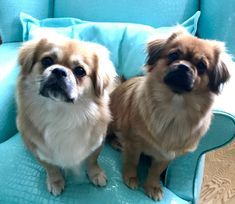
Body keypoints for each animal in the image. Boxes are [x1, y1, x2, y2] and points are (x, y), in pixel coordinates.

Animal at [16, 36, 117, 196]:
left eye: (80, 71)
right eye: (47, 61)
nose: (59, 71)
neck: (62, 112)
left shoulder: (97, 143)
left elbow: (92, 160)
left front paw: (96, 174)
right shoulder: (40, 151)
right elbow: (51, 167)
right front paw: (55, 181)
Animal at [109, 28, 231, 201]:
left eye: (201, 66)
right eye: (173, 55)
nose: (183, 67)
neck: (173, 108)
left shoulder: (166, 156)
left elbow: (155, 172)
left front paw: (153, 187)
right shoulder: (134, 142)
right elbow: (133, 161)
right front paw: (131, 178)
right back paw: (116, 142)